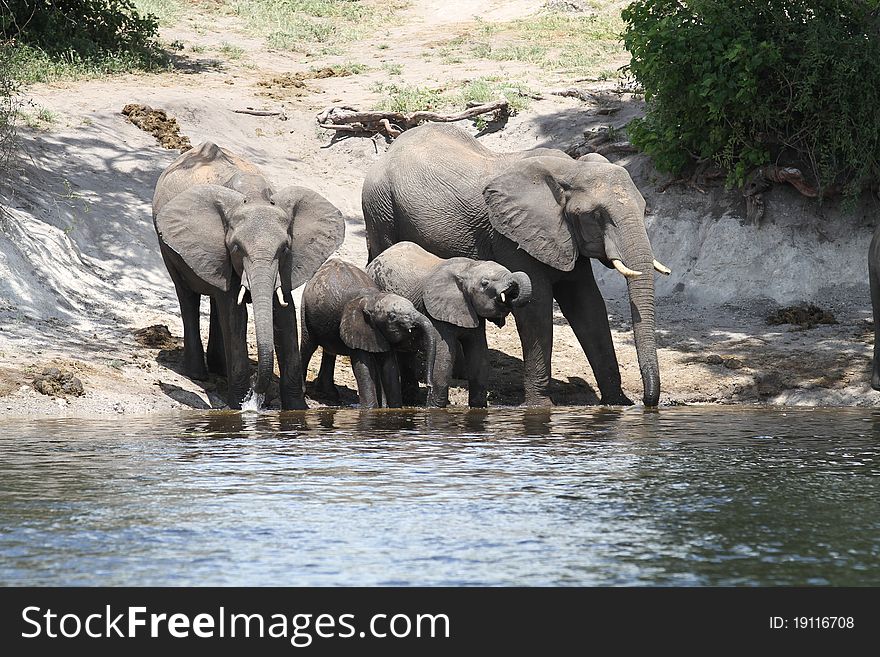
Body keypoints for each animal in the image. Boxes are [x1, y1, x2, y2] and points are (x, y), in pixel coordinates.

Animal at [151, 143, 344, 408]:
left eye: (284, 249)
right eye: (236, 248)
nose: (256, 391)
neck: (253, 196)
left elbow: (283, 313)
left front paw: (297, 410)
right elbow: (235, 315)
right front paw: (239, 406)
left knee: (215, 299)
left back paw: (219, 369)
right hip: (167, 246)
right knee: (188, 296)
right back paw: (197, 374)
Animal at [300, 258, 438, 408]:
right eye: (392, 317)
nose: (430, 386)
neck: (373, 299)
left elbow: (389, 368)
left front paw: (393, 409)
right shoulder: (357, 327)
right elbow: (363, 367)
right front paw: (370, 409)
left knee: (330, 350)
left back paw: (330, 395)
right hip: (305, 309)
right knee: (308, 346)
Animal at [364, 240, 528, 404]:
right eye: (485, 283)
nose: (511, 292)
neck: (468, 269)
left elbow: (479, 359)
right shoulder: (436, 315)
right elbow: (442, 361)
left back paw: (412, 402)